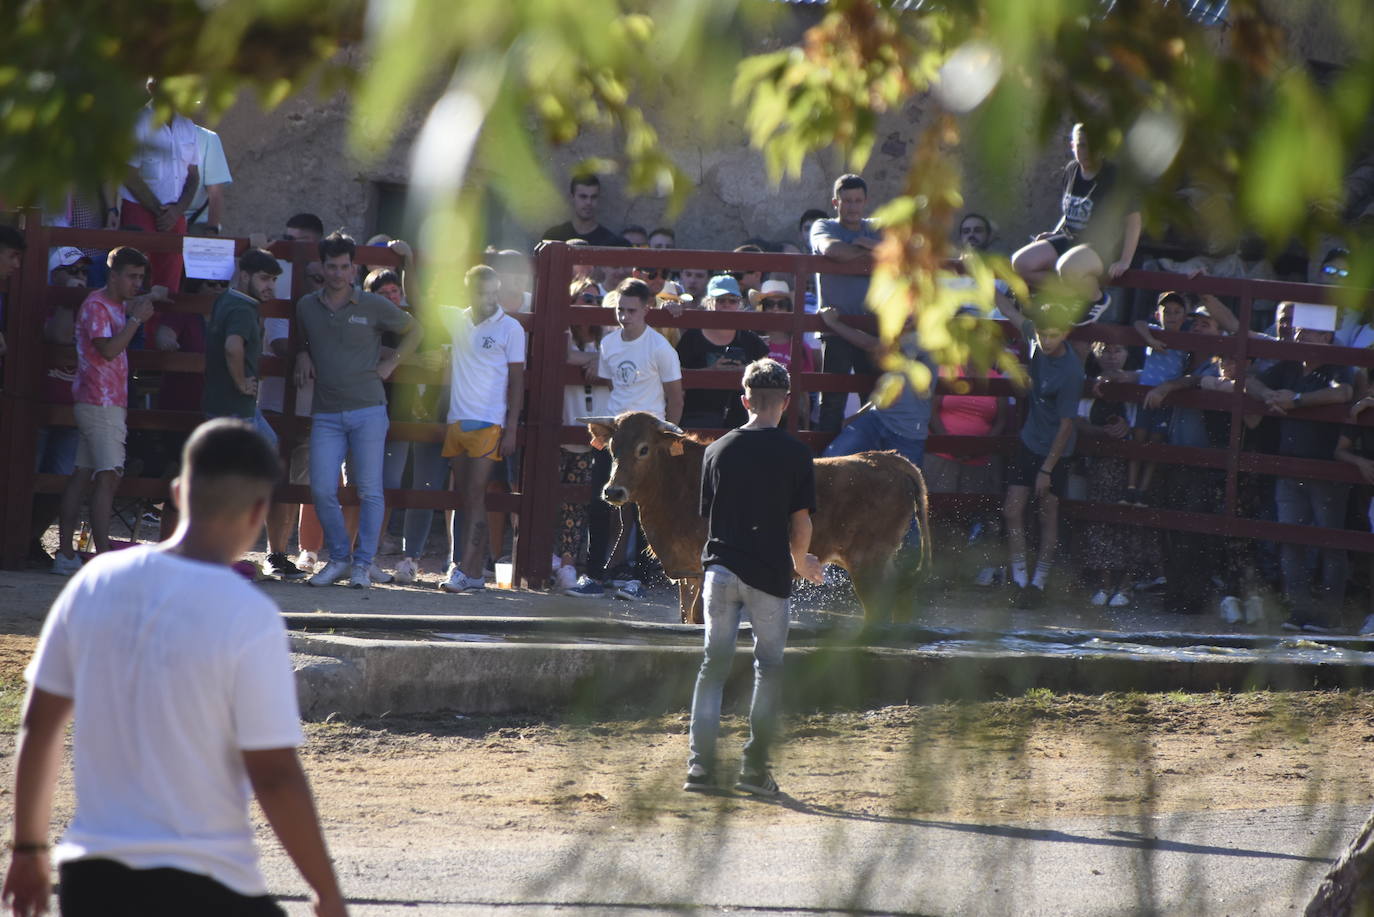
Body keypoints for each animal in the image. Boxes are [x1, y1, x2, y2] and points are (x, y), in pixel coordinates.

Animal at [582, 415, 934, 624]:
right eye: (612, 448)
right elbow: (687, 615)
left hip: (867, 561)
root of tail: (888, 459)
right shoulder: (687, 571)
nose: (613, 491)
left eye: (643, 449)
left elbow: (698, 615)